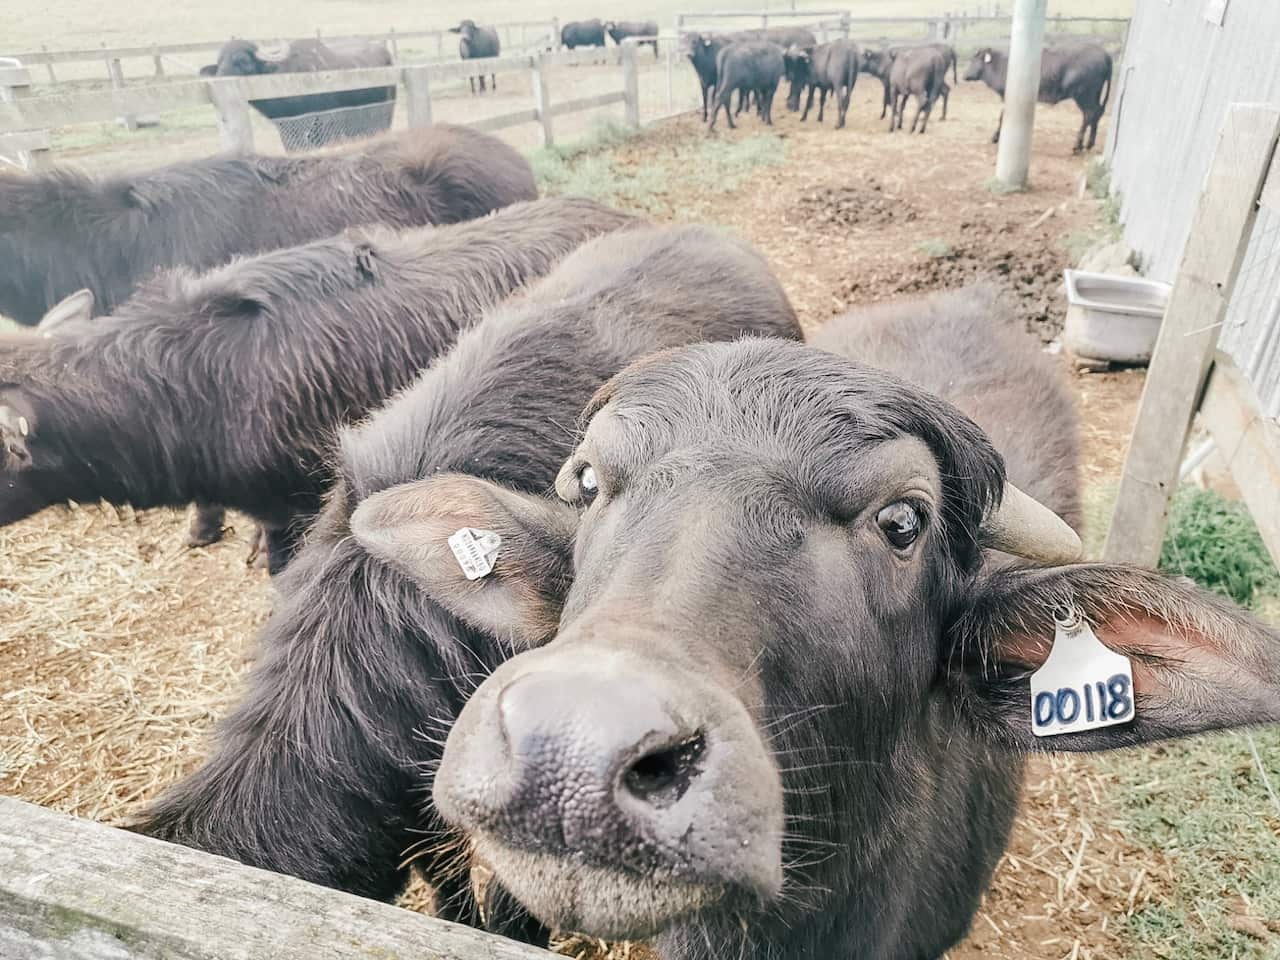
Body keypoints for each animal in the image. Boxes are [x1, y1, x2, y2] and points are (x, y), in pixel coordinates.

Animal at [964, 42, 1113, 152]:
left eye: (974, 60)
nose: (964, 75)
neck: (1001, 64)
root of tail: (1104, 54)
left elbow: (1002, 116)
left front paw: (996, 137)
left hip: (1084, 94)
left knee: (1089, 114)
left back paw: (1078, 145)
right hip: (1094, 94)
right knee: (1097, 113)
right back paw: (1089, 144)